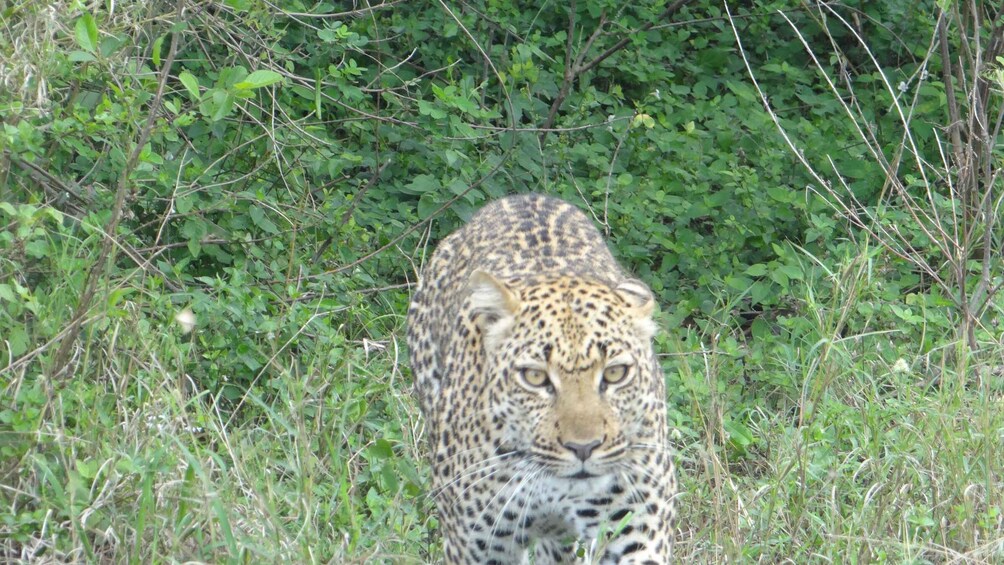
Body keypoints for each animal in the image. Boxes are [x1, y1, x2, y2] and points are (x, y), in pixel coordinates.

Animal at [407, 194, 677, 564]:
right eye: (535, 377)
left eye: (615, 373)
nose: (583, 448)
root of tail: (522, 197)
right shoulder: (477, 546)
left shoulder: (636, 531)